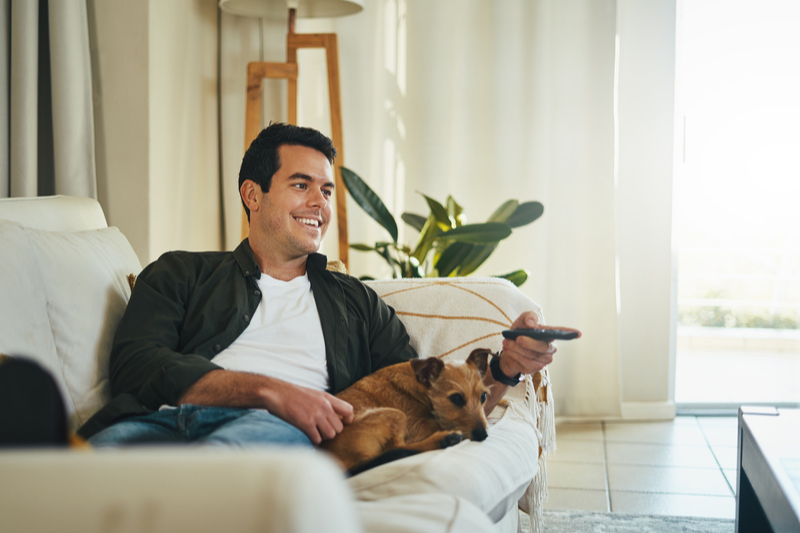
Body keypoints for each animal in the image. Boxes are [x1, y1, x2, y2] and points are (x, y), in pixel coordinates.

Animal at [322, 352, 490, 472]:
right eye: (456, 398)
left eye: (483, 396)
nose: (483, 435)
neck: (421, 388)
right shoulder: (416, 427)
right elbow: (436, 424)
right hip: (396, 414)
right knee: (397, 448)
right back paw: (443, 439)